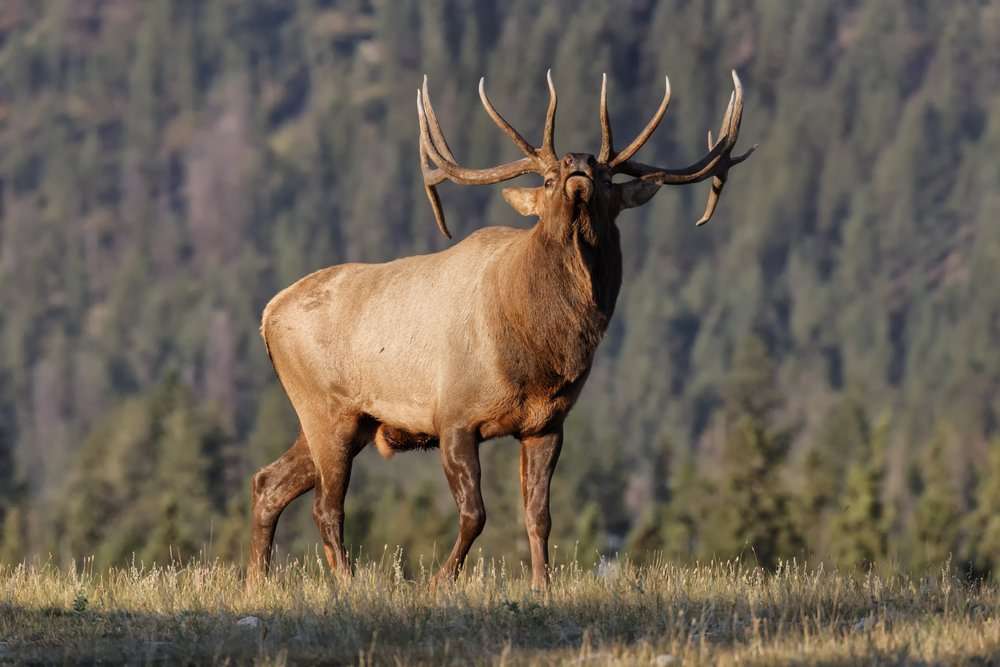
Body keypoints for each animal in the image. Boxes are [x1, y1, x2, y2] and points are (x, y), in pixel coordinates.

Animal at [248, 69, 755, 590]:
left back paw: (256, 581)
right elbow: (475, 514)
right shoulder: (454, 417)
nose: (578, 163)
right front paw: (440, 581)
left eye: (606, 178)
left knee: (269, 482)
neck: (540, 354)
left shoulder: (547, 424)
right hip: (327, 409)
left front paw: (542, 584)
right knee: (326, 506)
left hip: (349, 420)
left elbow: (538, 516)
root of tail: (267, 314)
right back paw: (349, 583)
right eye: (548, 179)